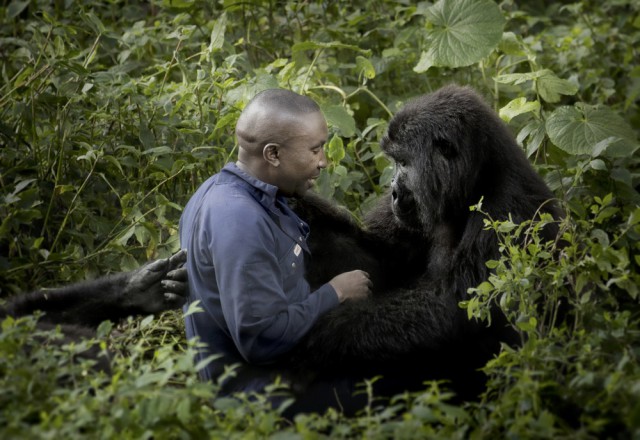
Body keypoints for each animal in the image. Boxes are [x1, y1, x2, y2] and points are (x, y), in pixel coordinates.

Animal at [282, 85, 564, 410]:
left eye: (404, 162)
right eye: (394, 162)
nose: (393, 190)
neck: (478, 179)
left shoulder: (507, 212)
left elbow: (458, 308)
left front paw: (323, 331)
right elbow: (378, 263)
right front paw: (299, 209)